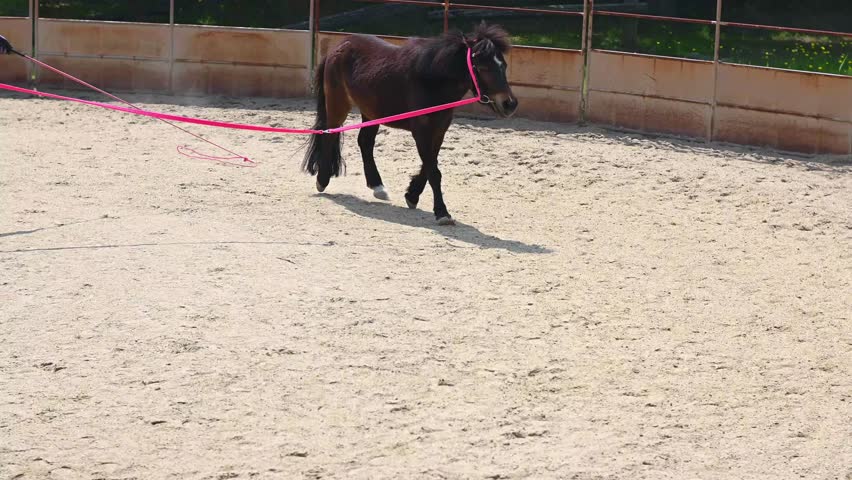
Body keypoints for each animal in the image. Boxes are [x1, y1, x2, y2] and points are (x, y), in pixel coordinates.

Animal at [302, 23, 518, 225]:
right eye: (482, 68)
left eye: (504, 65)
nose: (510, 104)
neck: (431, 80)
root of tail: (337, 48)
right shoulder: (421, 131)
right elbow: (433, 171)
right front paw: (442, 212)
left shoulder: (439, 130)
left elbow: (429, 165)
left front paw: (412, 195)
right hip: (338, 104)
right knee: (330, 135)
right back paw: (322, 180)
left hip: (371, 112)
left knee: (365, 142)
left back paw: (377, 187)